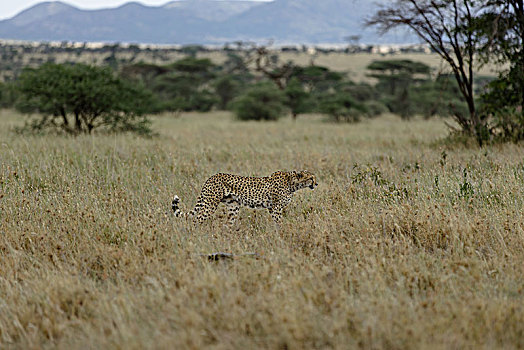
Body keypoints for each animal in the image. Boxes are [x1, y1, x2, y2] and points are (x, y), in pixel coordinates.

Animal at [174, 170, 318, 227]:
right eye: (311, 178)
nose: (316, 184)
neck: (292, 183)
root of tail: (211, 177)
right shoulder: (276, 208)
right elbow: (279, 222)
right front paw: (282, 233)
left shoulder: (273, 208)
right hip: (210, 204)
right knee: (197, 219)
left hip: (233, 207)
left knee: (228, 224)